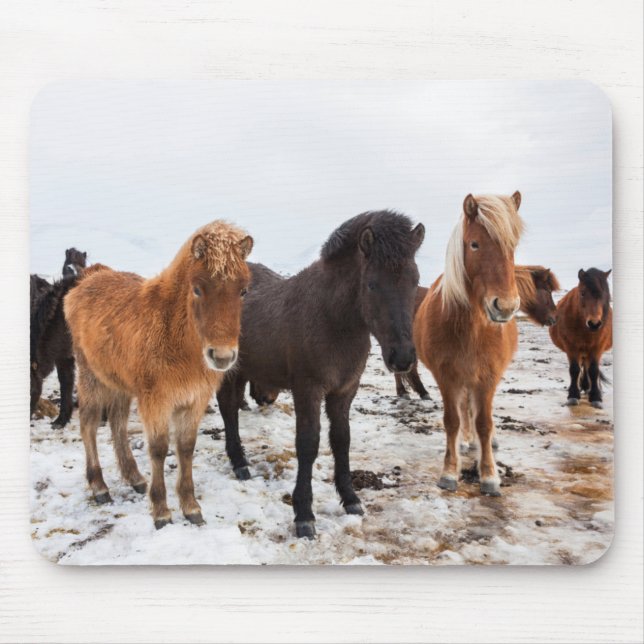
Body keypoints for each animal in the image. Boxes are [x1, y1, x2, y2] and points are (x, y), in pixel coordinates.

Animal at [64, 222, 253, 528]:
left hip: (120, 384)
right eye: (197, 289)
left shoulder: (194, 400)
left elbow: (185, 448)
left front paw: (190, 507)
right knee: (89, 425)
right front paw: (162, 511)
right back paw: (99, 486)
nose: (222, 356)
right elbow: (159, 449)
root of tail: (88, 279)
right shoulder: (156, 401)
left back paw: (134, 478)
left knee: (117, 422)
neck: (174, 333)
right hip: (91, 377)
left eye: (243, 291)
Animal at [216, 211, 425, 538]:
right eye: (372, 285)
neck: (332, 319)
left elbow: (341, 439)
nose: (402, 357)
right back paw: (239, 463)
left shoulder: (344, 390)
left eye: (415, 281)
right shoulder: (308, 389)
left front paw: (350, 498)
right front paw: (304, 514)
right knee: (227, 409)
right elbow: (308, 443)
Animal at [413, 192, 524, 496]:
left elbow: (484, 423)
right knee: (464, 411)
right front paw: (450, 472)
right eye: (474, 244)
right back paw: (465, 440)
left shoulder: (488, 377)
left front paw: (489, 476)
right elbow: (452, 420)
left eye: (513, 246)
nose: (505, 306)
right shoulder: (447, 376)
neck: (472, 330)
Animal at [548, 268, 612, 408]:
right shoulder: (571, 347)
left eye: (605, 294)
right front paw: (573, 396)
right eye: (582, 293)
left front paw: (596, 397)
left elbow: (593, 370)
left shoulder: (597, 347)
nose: (594, 324)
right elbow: (574, 369)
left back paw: (587, 387)